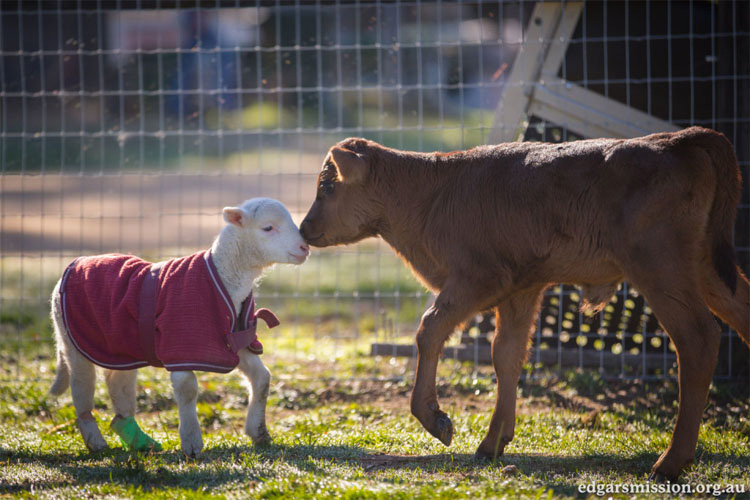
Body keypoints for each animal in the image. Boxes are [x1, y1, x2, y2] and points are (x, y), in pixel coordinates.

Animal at [48, 197, 310, 456]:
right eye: (268, 228)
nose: (304, 248)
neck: (224, 277)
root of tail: (73, 265)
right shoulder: (180, 342)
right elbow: (188, 389)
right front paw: (192, 442)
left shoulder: (236, 341)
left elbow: (263, 379)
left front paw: (259, 433)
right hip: (73, 338)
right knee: (81, 388)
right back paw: (96, 442)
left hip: (118, 346)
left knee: (117, 381)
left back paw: (138, 440)